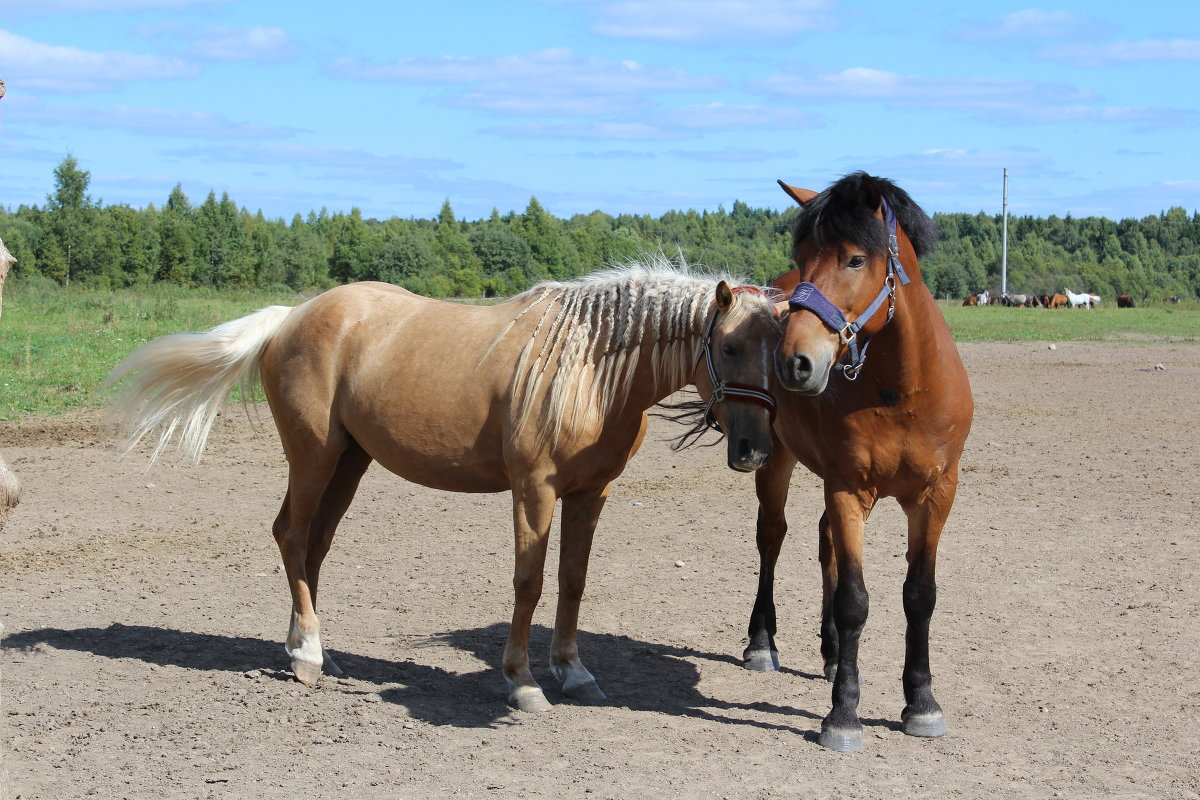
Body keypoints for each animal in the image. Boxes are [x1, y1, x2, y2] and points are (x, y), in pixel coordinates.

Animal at [108, 263, 782, 714]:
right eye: (728, 346)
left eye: (780, 355)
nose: (754, 451)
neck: (589, 367)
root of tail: (291, 318)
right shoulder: (533, 490)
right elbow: (529, 583)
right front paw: (522, 682)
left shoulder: (592, 493)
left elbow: (572, 581)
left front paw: (574, 673)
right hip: (313, 456)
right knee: (292, 537)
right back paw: (305, 657)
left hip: (349, 462)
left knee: (314, 546)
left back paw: (319, 652)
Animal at [748, 172, 974, 753]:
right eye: (801, 255)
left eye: (854, 259)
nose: (794, 362)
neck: (903, 390)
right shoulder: (850, 488)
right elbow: (855, 600)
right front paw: (844, 714)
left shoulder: (936, 495)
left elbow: (920, 595)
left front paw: (921, 703)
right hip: (777, 461)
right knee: (772, 537)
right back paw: (762, 642)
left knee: (824, 539)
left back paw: (831, 656)